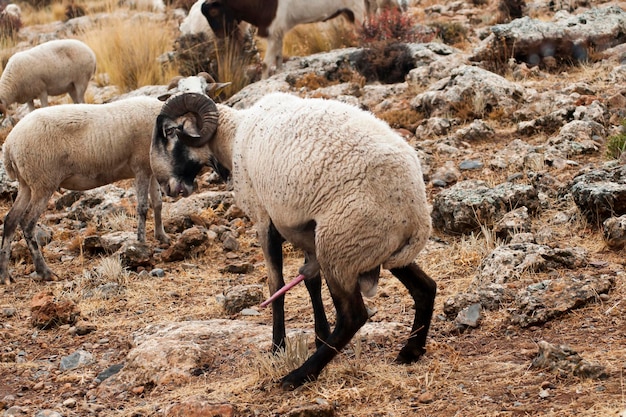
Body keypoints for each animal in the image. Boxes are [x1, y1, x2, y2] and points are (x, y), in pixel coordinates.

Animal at [0, 96, 169, 284]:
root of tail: (9, 144)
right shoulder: (140, 168)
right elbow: (143, 208)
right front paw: (141, 243)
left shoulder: (150, 169)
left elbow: (158, 203)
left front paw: (162, 237)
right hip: (42, 184)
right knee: (27, 223)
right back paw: (45, 272)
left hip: (26, 185)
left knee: (10, 220)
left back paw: (5, 275)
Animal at [149, 92, 436, 390]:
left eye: (170, 132)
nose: (165, 186)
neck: (232, 135)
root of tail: (417, 215)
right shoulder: (303, 230)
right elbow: (311, 282)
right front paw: (319, 335)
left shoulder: (265, 220)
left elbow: (276, 284)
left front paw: (277, 347)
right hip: (375, 249)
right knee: (425, 288)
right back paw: (410, 351)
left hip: (340, 246)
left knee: (353, 316)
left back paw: (299, 375)